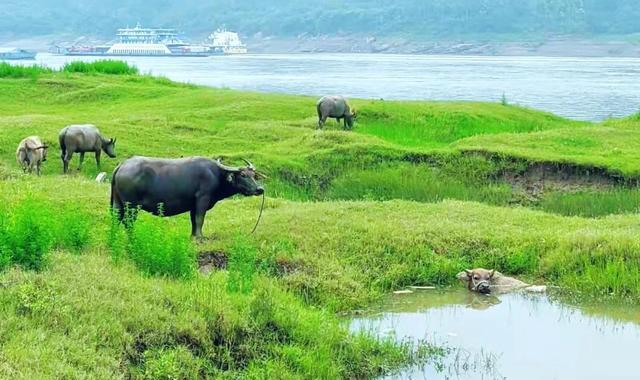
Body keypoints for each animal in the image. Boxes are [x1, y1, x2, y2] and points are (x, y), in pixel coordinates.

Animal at [111, 156, 264, 236]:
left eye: (253, 175)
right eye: (243, 175)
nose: (260, 189)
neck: (216, 175)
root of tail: (122, 166)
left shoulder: (193, 205)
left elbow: (193, 220)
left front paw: (193, 236)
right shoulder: (203, 199)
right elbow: (200, 219)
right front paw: (200, 237)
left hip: (117, 203)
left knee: (116, 219)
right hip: (131, 206)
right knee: (128, 222)